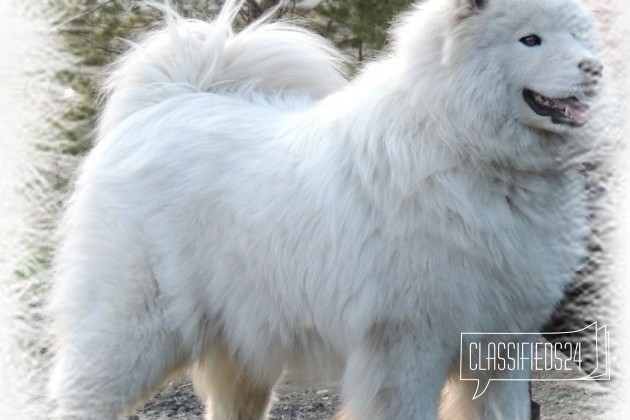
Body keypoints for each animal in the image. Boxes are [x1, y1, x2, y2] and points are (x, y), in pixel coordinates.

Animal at [48, 0, 604, 418]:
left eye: (578, 37)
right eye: (530, 39)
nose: (594, 67)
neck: (460, 141)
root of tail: (169, 100)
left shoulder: (502, 348)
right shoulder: (408, 349)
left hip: (243, 352)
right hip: (131, 334)